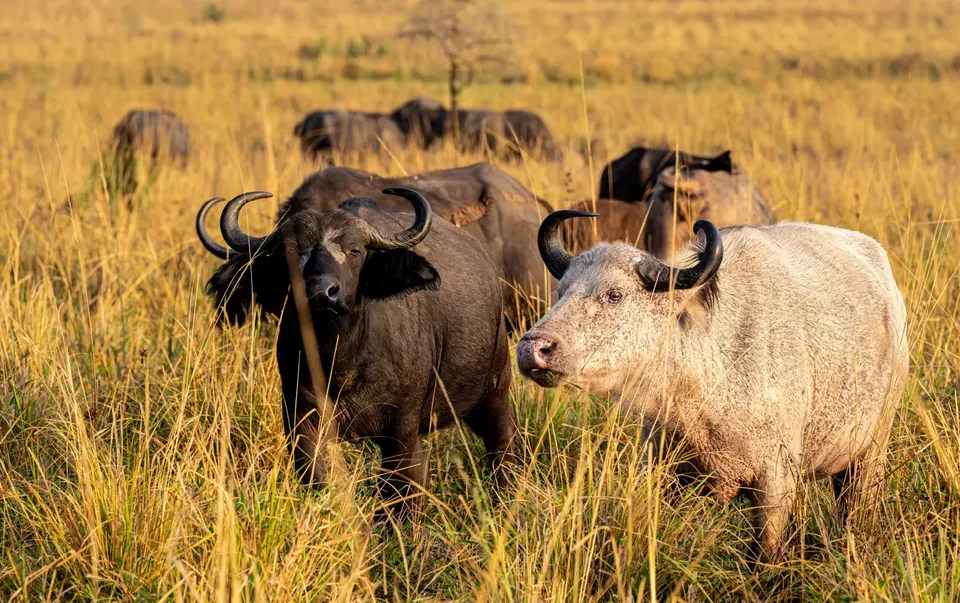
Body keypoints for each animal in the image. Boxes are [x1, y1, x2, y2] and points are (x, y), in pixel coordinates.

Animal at [204, 188, 515, 513]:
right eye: (290, 252)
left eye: (355, 250)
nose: (321, 293)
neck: (342, 362)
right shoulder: (303, 421)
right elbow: (317, 478)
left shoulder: (401, 431)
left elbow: (401, 489)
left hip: (495, 390)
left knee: (501, 444)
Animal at [518, 211, 908, 562]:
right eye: (561, 292)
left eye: (614, 295)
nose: (532, 348)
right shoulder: (660, 468)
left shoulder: (775, 482)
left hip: (871, 453)